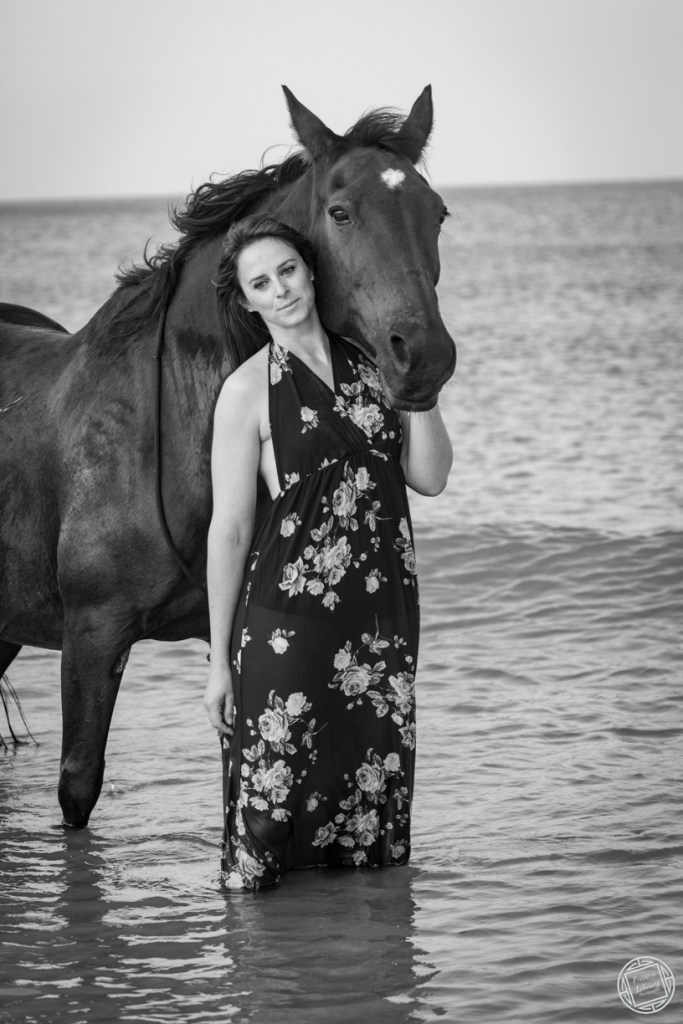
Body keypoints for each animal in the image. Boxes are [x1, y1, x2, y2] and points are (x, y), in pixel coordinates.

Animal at [0, 85, 455, 827]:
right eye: (340, 212)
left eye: (436, 213)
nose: (423, 357)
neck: (162, 430)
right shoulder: (92, 637)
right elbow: (77, 785)